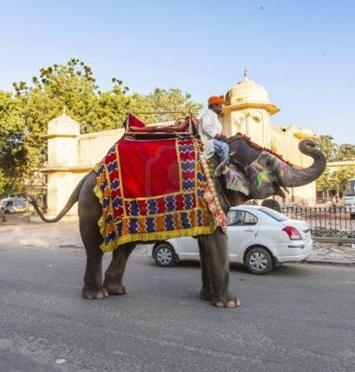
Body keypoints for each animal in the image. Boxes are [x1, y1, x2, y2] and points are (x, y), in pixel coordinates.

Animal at [31, 134, 328, 308]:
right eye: (269, 164)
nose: (310, 141)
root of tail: (86, 175)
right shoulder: (208, 195)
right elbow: (217, 239)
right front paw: (230, 303)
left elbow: (207, 244)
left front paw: (208, 298)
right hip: (91, 205)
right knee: (94, 247)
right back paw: (96, 295)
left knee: (125, 248)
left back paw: (116, 291)